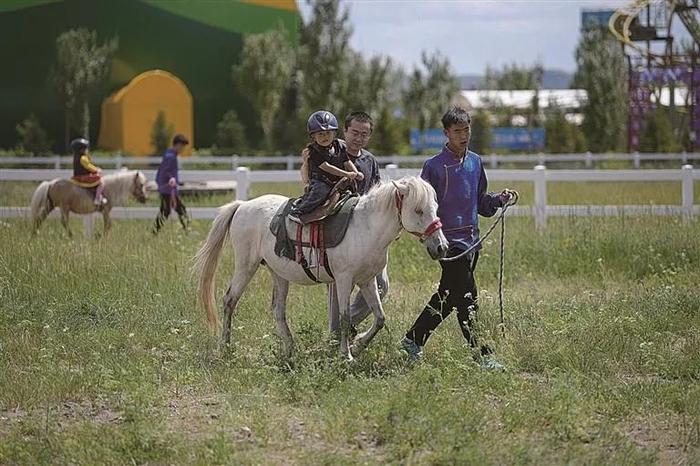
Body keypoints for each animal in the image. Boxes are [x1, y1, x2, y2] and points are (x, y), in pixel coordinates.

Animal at [193, 176, 448, 360]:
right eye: (418, 210)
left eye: (436, 207)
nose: (442, 247)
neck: (366, 228)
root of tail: (242, 205)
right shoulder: (344, 280)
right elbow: (344, 317)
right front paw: (346, 355)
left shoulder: (367, 280)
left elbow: (379, 318)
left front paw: (358, 345)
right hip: (246, 266)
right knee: (230, 300)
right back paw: (226, 346)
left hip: (279, 274)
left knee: (278, 309)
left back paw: (290, 349)